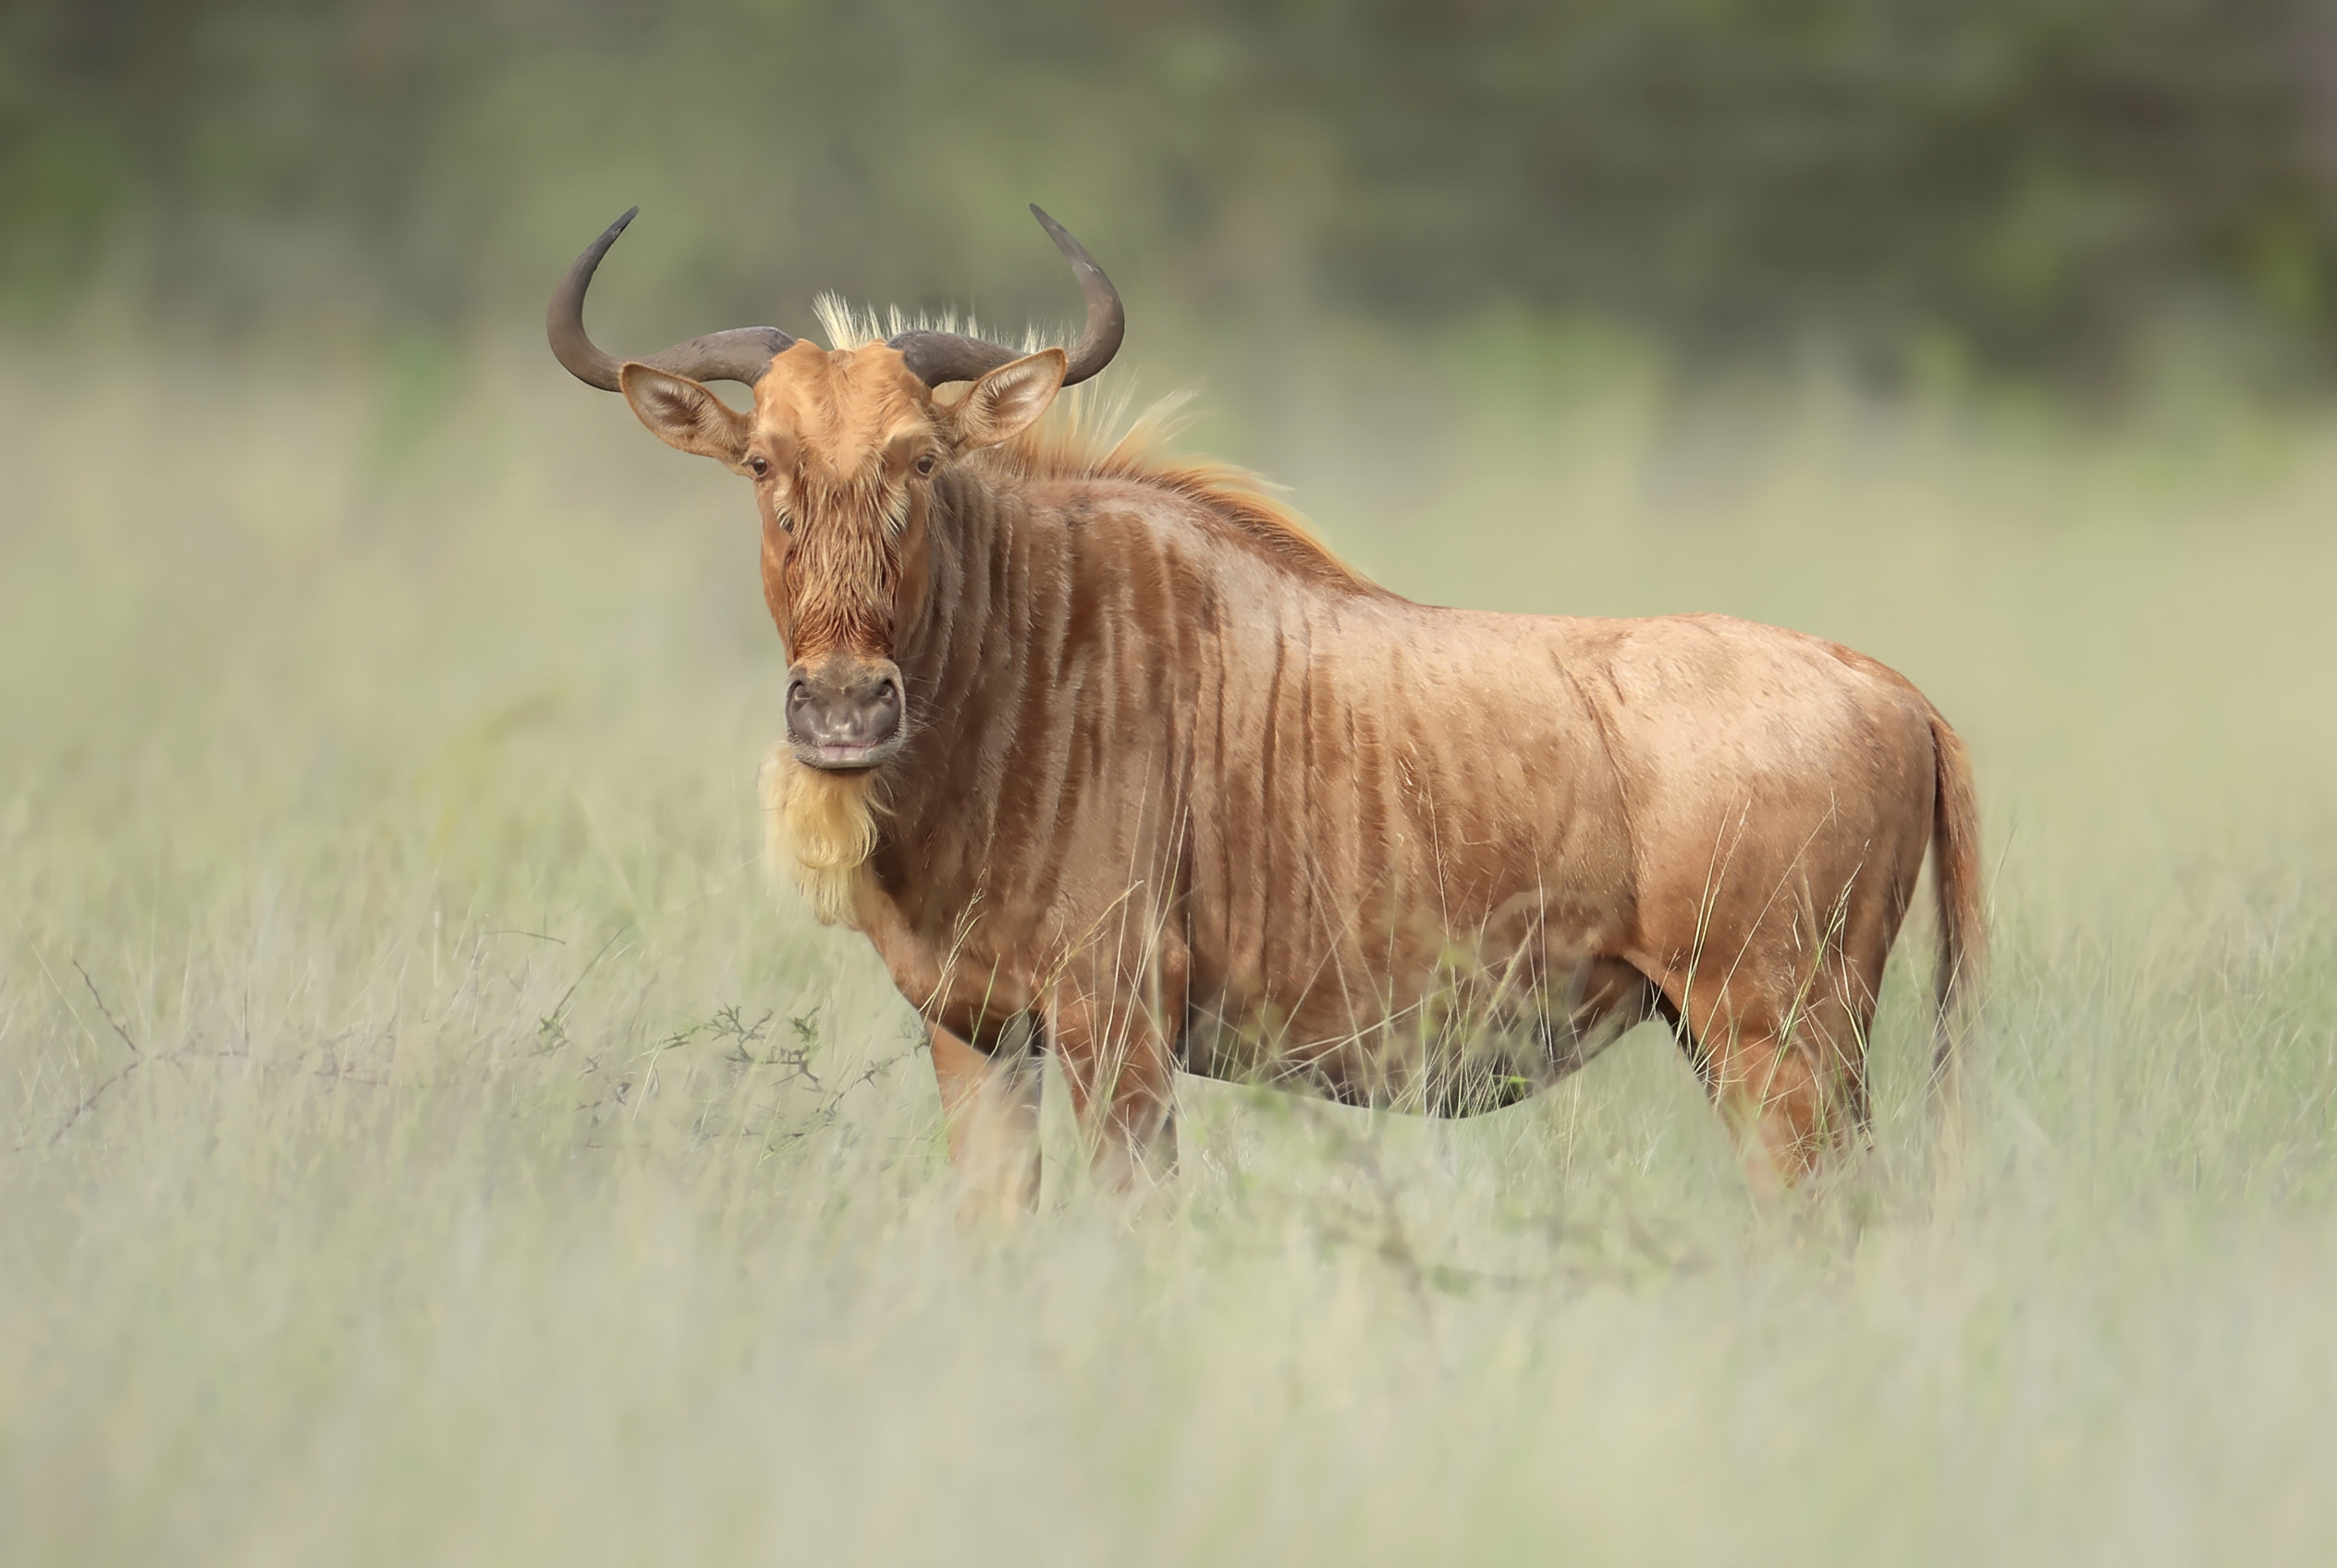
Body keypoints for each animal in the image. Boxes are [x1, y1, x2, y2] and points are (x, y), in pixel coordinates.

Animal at [548, 205, 1983, 1212]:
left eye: (918, 461)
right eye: (761, 464)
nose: (843, 709)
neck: (1013, 655)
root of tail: (1895, 688)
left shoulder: (1118, 1034)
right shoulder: (976, 1043)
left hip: (1775, 1047)